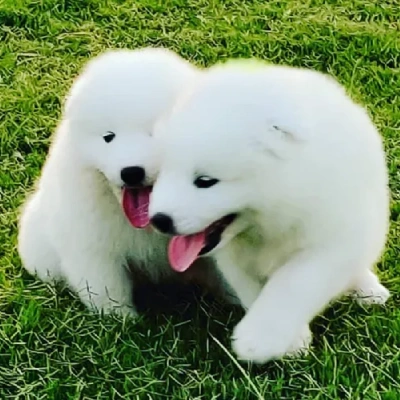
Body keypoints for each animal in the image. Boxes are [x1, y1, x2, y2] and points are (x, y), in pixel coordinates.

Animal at [18, 47, 233, 316]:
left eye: (156, 133)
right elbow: (106, 287)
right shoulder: (93, 247)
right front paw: (121, 319)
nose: (131, 172)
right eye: (108, 137)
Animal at [150, 61, 390, 364]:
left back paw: (369, 290)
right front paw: (292, 341)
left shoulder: (329, 243)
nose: (159, 220)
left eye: (205, 181)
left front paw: (259, 338)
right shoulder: (233, 258)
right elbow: (251, 289)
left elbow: (293, 283)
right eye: (161, 173)